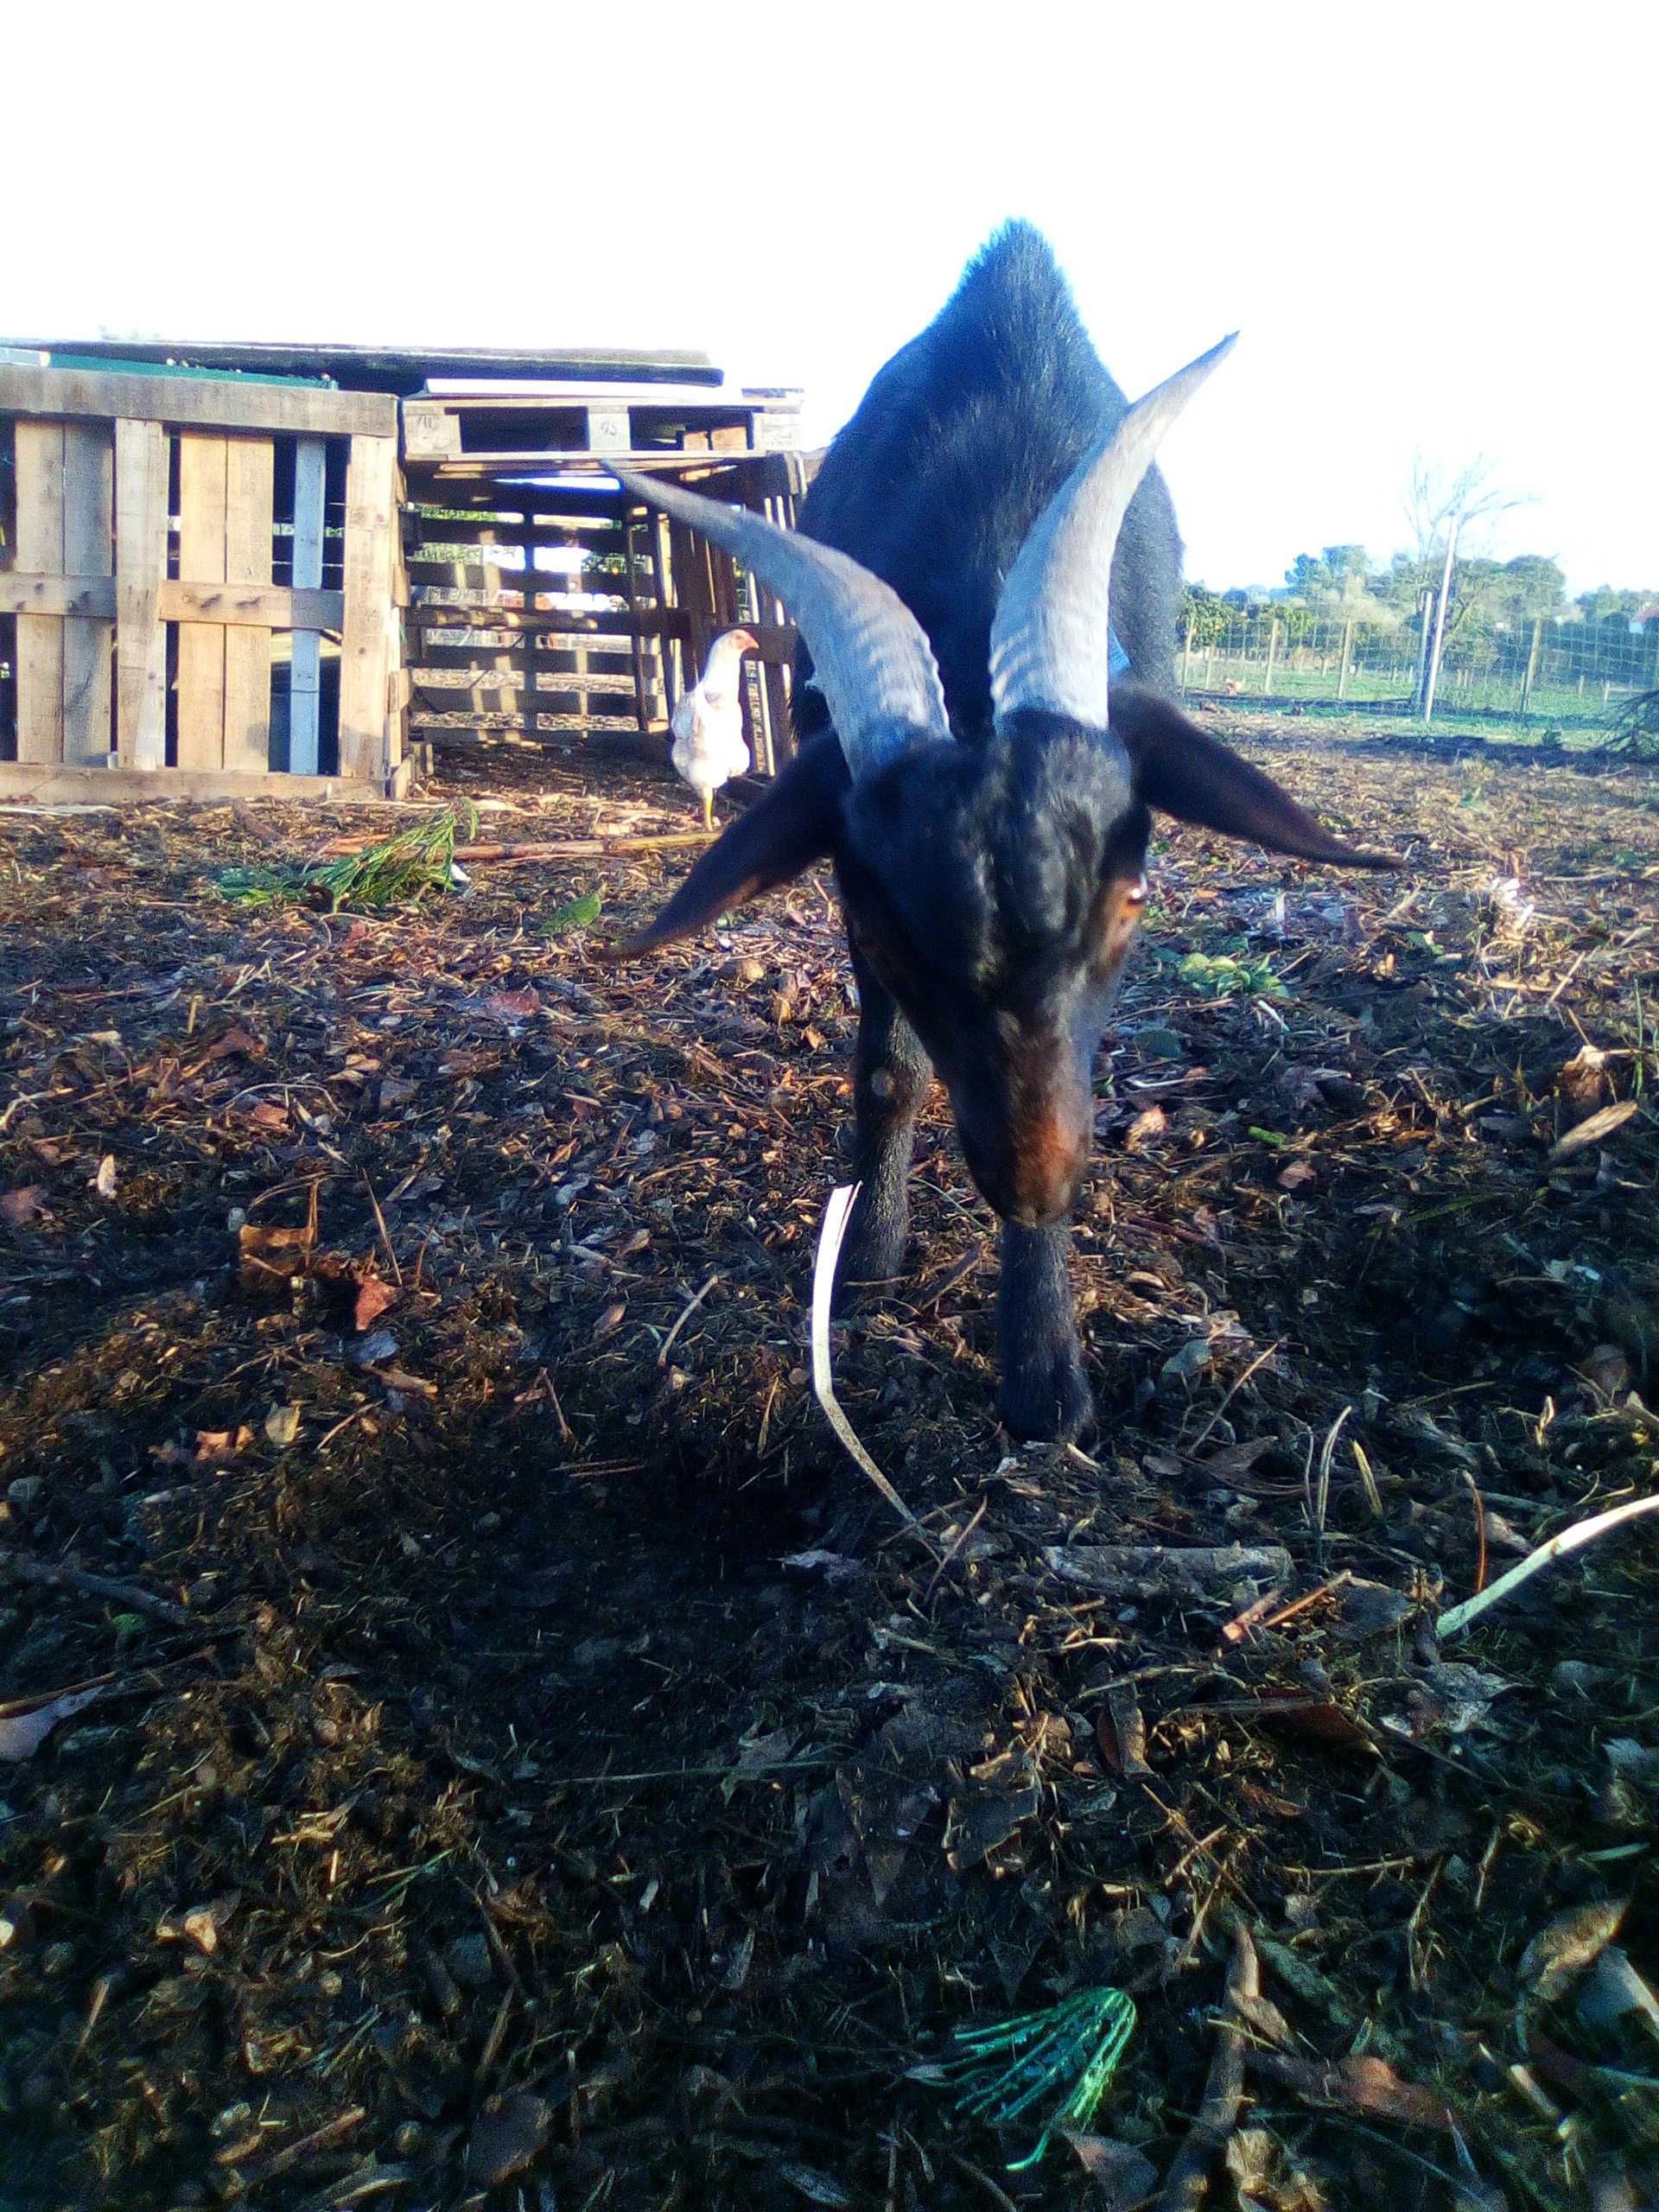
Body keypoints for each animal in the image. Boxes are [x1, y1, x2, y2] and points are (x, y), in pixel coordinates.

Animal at [610, 219, 1389, 1433]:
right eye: (880, 932)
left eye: (1133, 902)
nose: (1036, 1183)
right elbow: (891, 1073)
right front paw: (870, 1253)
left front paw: (1044, 1370)